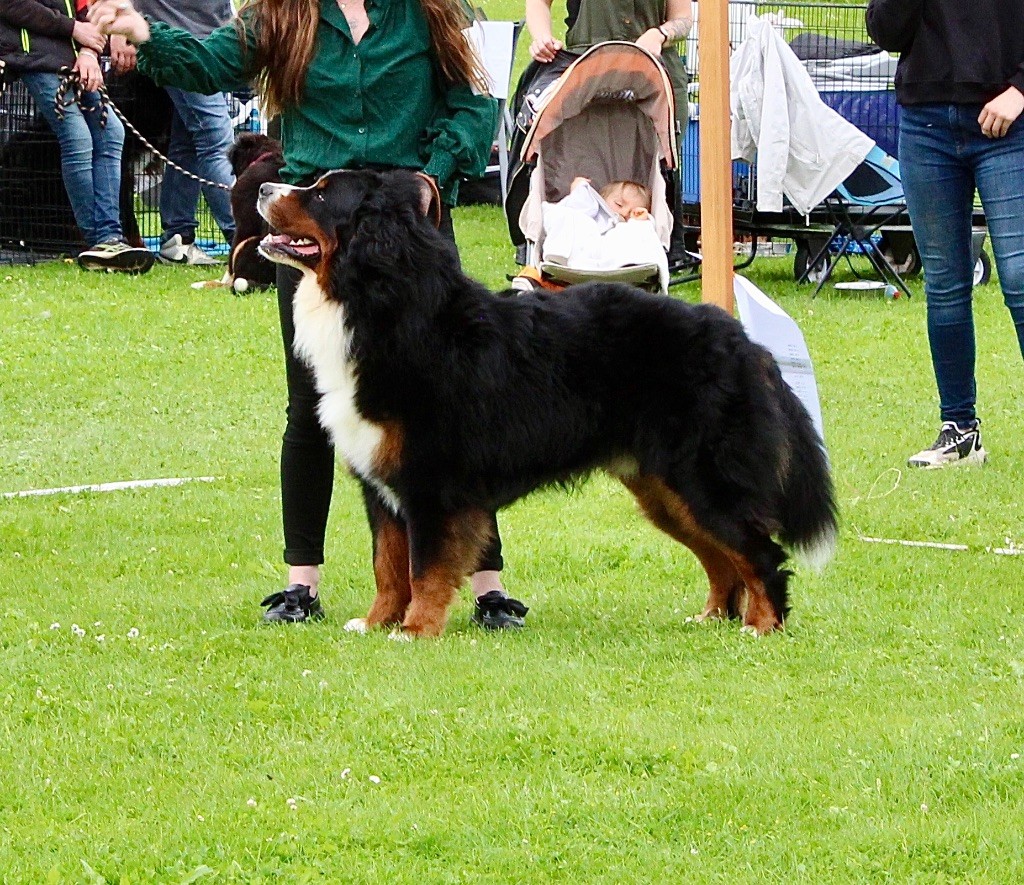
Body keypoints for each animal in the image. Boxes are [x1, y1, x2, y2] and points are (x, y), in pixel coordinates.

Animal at [253, 167, 831, 635]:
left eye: (321, 195)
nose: (262, 188)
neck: (381, 305)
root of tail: (741, 340)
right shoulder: (383, 482)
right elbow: (389, 566)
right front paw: (376, 623)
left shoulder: (432, 481)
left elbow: (425, 567)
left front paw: (414, 630)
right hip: (665, 488)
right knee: (721, 557)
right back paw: (712, 617)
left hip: (703, 477)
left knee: (759, 552)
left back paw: (763, 626)